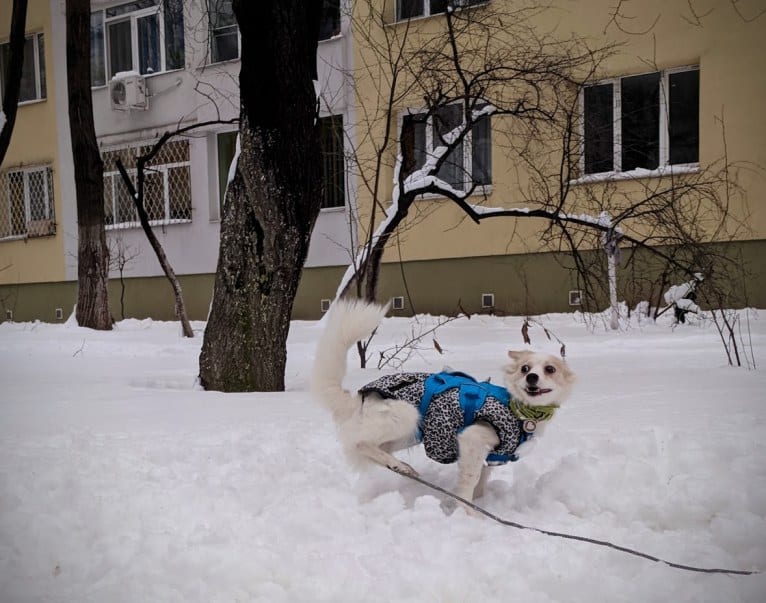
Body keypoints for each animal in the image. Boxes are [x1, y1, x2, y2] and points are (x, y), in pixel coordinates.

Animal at [312, 300, 576, 508]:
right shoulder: (472, 439)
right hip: (405, 414)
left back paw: (401, 466)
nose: (532, 377)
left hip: (411, 432)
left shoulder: (492, 455)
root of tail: (357, 399)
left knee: (373, 449)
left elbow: (481, 481)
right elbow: (470, 480)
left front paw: (476, 503)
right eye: (525, 368)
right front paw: (468, 513)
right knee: (358, 442)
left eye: (550, 369)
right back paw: (395, 463)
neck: (520, 411)